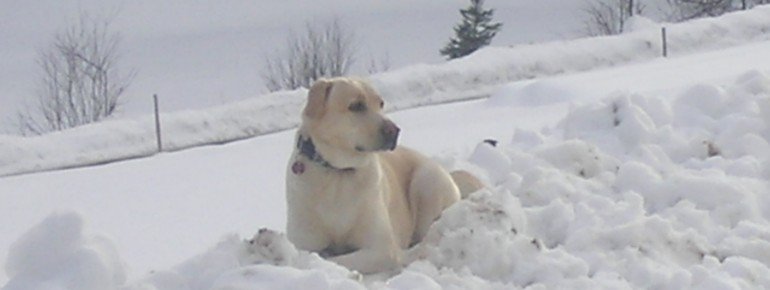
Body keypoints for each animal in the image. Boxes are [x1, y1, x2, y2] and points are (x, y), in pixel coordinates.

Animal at [288, 76, 480, 272]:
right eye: (356, 106)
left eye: (380, 103)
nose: (394, 131)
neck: (338, 172)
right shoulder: (304, 245)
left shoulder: (381, 249)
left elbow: (337, 260)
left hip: (427, 181)